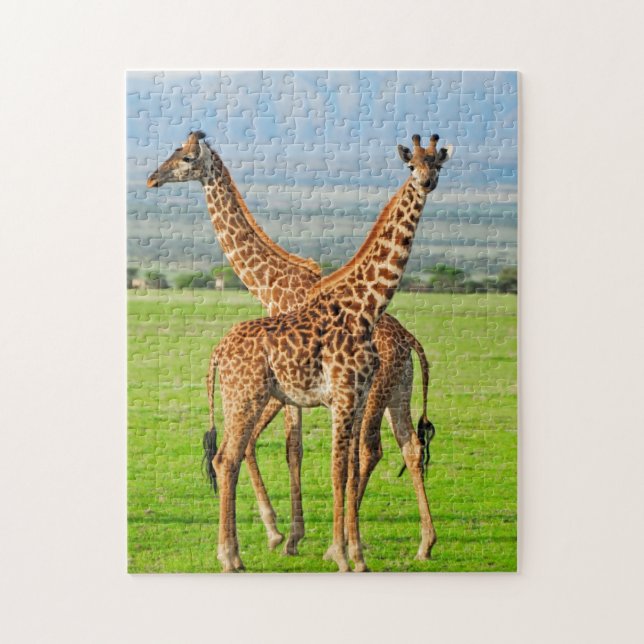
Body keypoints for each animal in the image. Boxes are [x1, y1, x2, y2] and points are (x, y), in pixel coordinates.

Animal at [148, 132, 438, 559]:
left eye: (185, 158)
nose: (152, 178)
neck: (271, 283)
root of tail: (410, 341)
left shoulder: (292, 387)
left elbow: (288, 448)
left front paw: (286, 535)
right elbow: (272, 446)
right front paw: (287, 533)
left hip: (375, 393)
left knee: (369, 450)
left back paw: (351, 539)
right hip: (399, 390)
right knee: (409, 448)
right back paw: (420, 543)